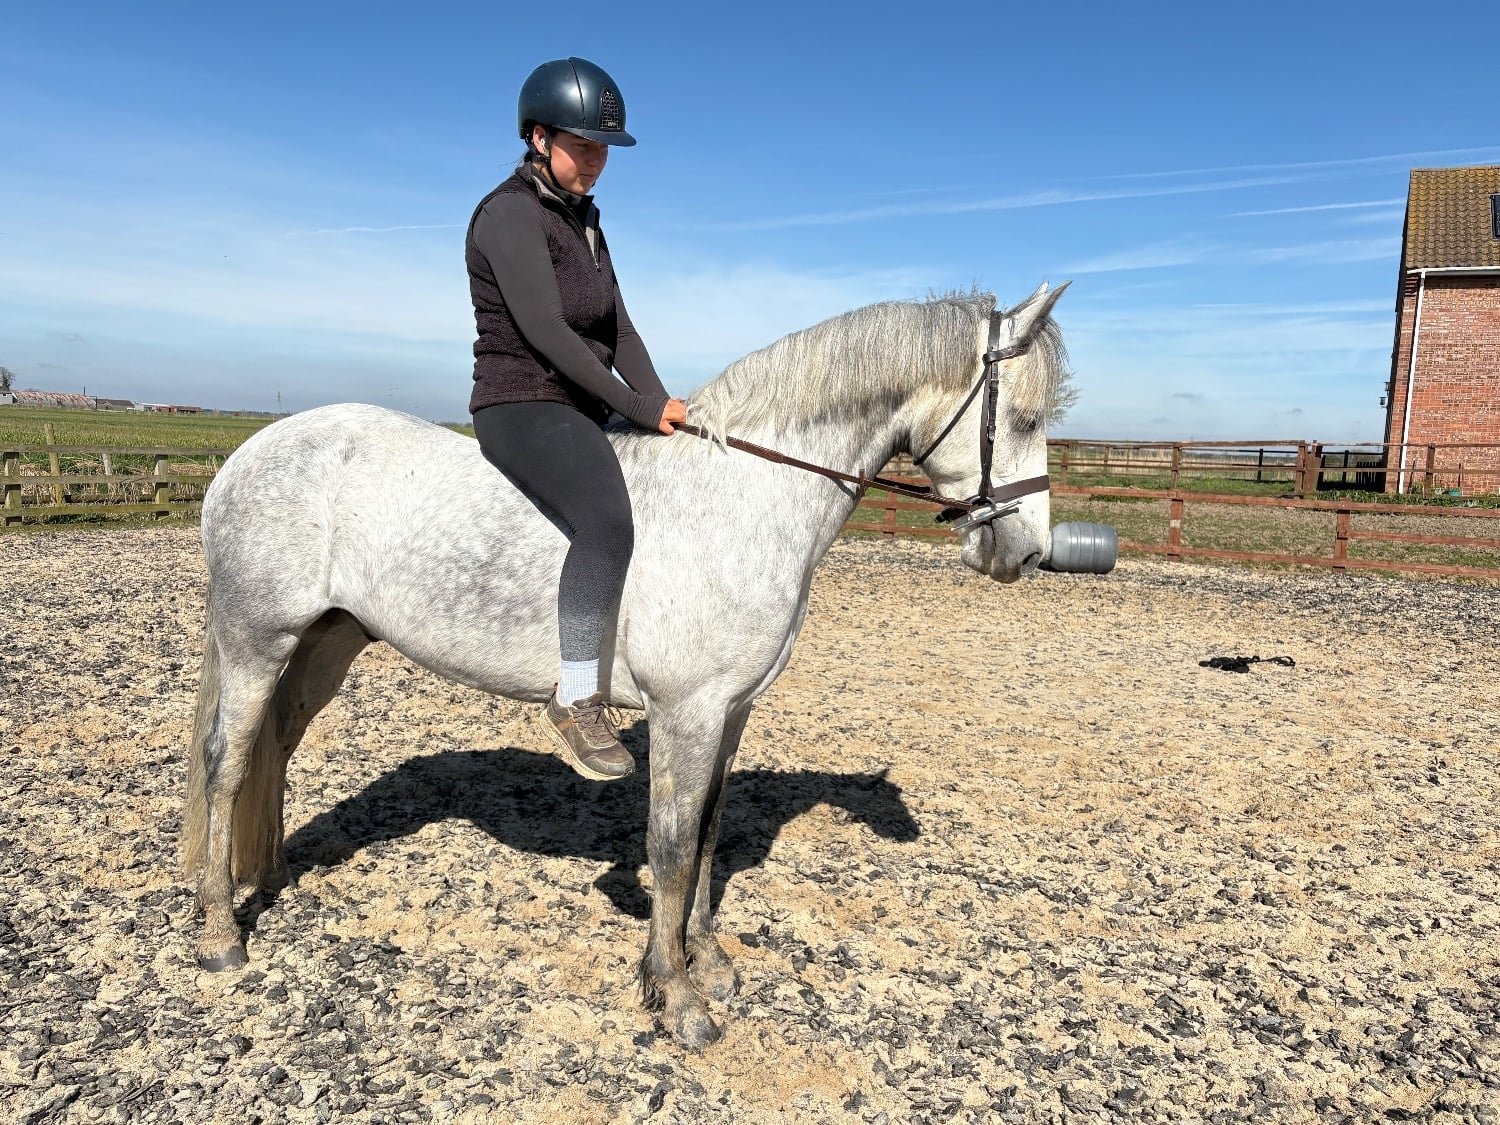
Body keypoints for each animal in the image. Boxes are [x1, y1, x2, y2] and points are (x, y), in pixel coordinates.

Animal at [180, 283, 1071, 1049]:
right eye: (1024, 417)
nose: (1027, 553)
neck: (744, 493)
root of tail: (249, 453)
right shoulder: (687, 710)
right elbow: (671, 843)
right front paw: (676, 995)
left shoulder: (732, 710)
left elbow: (709, 829)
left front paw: (707, 958)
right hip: (258, 638)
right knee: (228, 762)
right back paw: (222, 932)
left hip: (329, 640)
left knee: (275, 747)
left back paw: (274, 875)